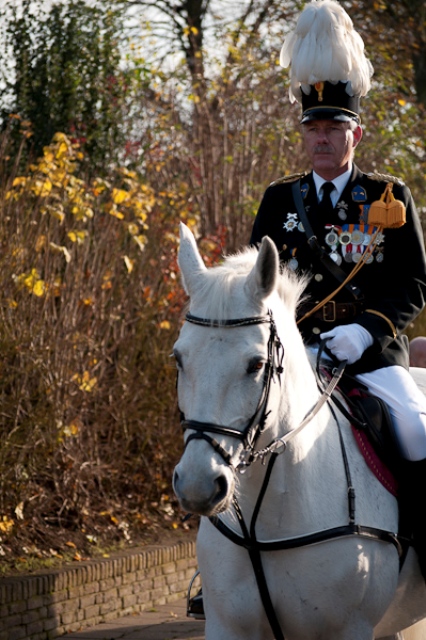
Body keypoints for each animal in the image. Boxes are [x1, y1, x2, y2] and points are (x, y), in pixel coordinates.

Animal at [171, 222, 426, 636]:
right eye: (179, 357)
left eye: (256, 364)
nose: (198, 486)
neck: (267, 520)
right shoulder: (227, 627)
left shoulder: (349, 628)